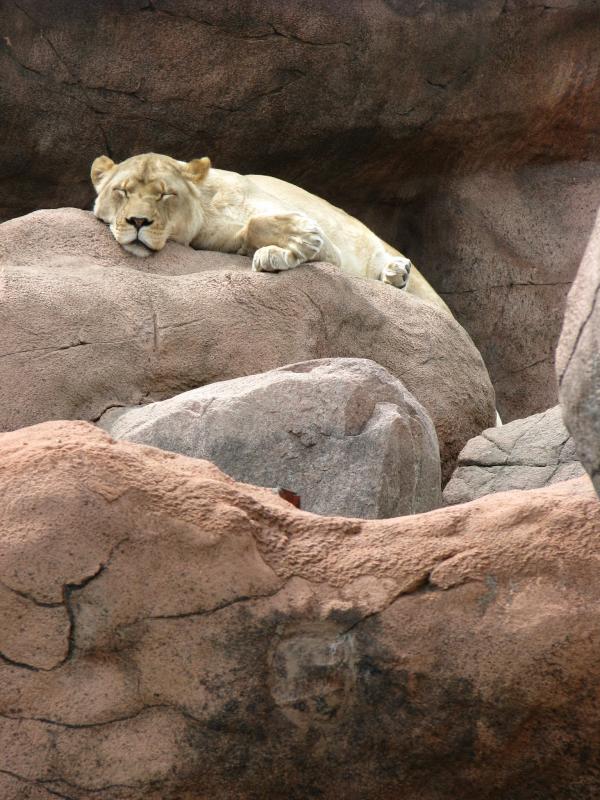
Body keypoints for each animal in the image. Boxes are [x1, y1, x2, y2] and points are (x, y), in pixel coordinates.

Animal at [91, 152, 450, 314]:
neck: (208, 205)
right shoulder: (221, 239)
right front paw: (279, 254)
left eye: (164, 194)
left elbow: (266, 222)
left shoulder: (329, 242)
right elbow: (251, 230)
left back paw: (396, 271)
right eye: (122, 191)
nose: (138, 221)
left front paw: (303, 237)